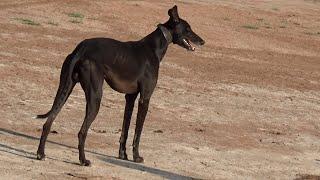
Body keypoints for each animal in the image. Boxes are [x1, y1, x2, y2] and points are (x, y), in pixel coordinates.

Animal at [35, 5, 205, 166]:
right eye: (188, 28)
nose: (202, 41)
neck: (154, 47)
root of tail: (80, 49)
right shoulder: (145, 98)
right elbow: (138, 131)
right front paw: (136, 156)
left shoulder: (130, 98)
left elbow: (125, 129)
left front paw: (123, 155)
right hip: (95, 96)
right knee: (82, 132)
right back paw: (83, 160)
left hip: (64, 88)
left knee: (48, 122)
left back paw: (41, 154)